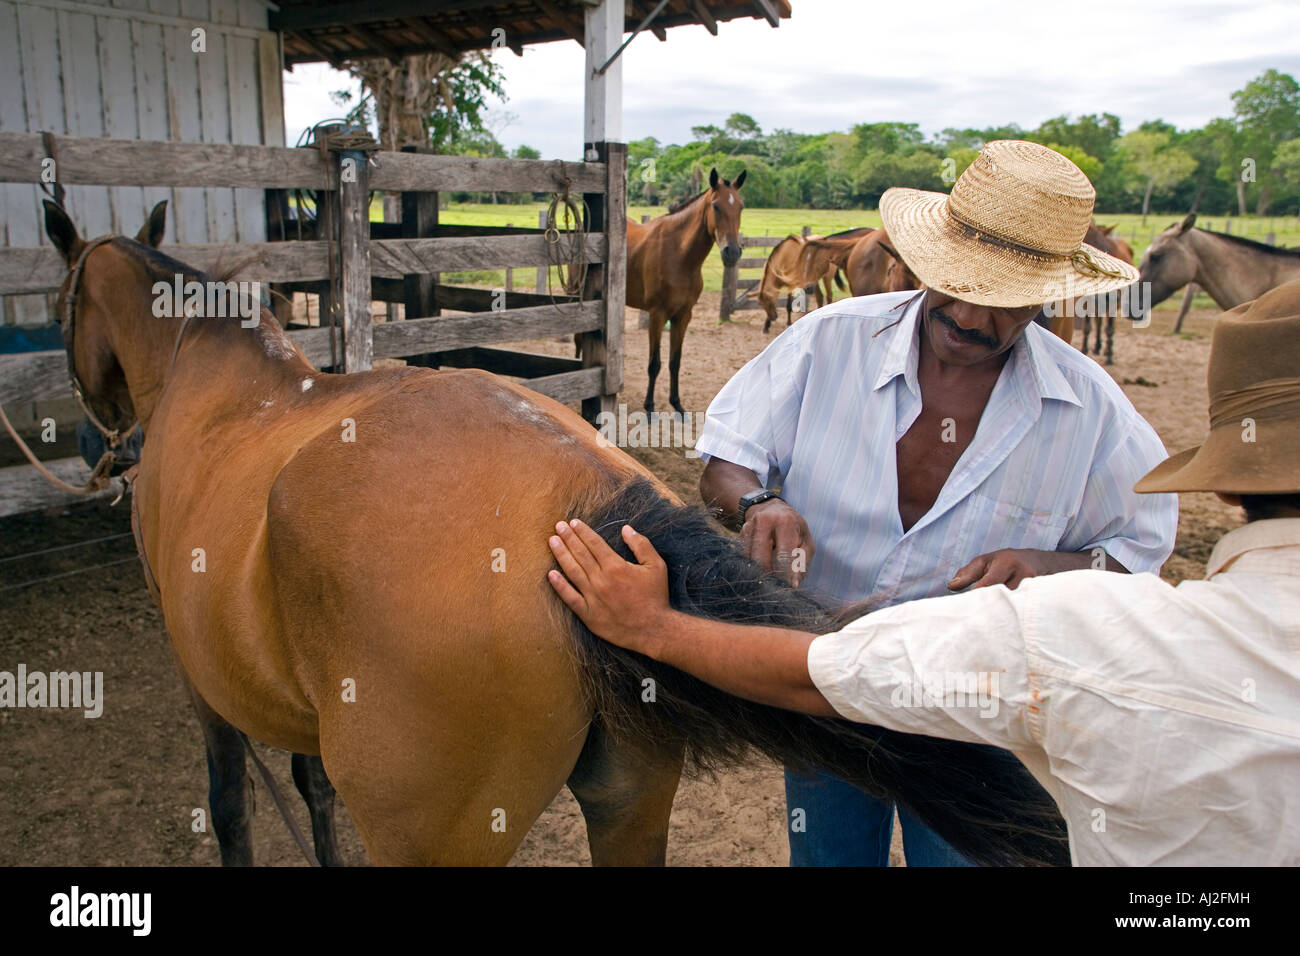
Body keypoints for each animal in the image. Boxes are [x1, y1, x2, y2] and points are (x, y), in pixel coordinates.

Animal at [43, 200, 1076, 868]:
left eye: (58, 303)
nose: (97, 434)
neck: (213, 381)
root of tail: (576, 495)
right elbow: (311, 789)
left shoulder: (206, 685)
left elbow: (231, 809)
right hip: (630, 808)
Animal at [626, 167, 748, 416]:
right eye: (716, 206)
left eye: (740, 206)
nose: (732, 252)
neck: (679, 255)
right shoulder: (657, 315)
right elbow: (654, 363)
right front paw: (649, 406)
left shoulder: (683, 315)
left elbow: (675, 361)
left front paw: (677, 404)